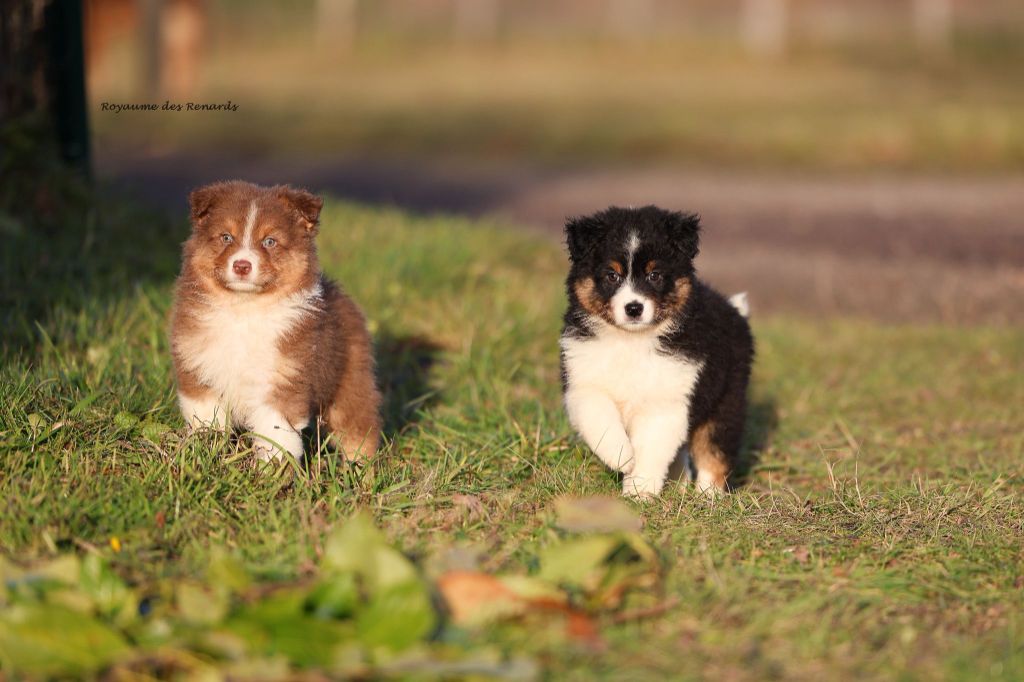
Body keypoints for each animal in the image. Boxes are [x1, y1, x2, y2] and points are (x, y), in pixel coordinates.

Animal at [169, 179, 382, 462]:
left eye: (269, 241)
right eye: (226, 237)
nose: (242, 265)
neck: (244, 309)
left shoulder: (284, 379)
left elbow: (276, 434)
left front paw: (273, 470)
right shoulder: (199, 370)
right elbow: (207, 420)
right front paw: (204, 454)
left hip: (349, 384)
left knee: (360, 429)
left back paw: (361, 469)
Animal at [561, 204, 753, 497]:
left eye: (655, 275)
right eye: (612, 275)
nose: (634, 308)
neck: (631, 341)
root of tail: (735, 311)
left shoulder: (665, 403)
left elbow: (651, 449)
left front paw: (638, 492)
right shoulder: (584, 382)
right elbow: (600, 419)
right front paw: (621, 457)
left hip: (726, 399)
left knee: (714, 451)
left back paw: (707, 497)